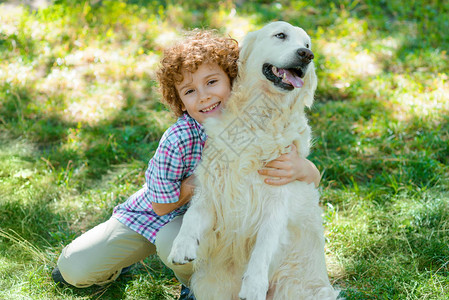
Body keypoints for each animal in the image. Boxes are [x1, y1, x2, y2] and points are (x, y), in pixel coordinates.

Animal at [167, 21, 336, 300]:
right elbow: (192, 216)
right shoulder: (214, 190)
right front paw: (181, 245)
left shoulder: (276, 198)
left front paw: (254, 284)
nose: (307, 55)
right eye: (280, 35)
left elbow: (265, 243)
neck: (260, 117)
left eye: (307, 44)